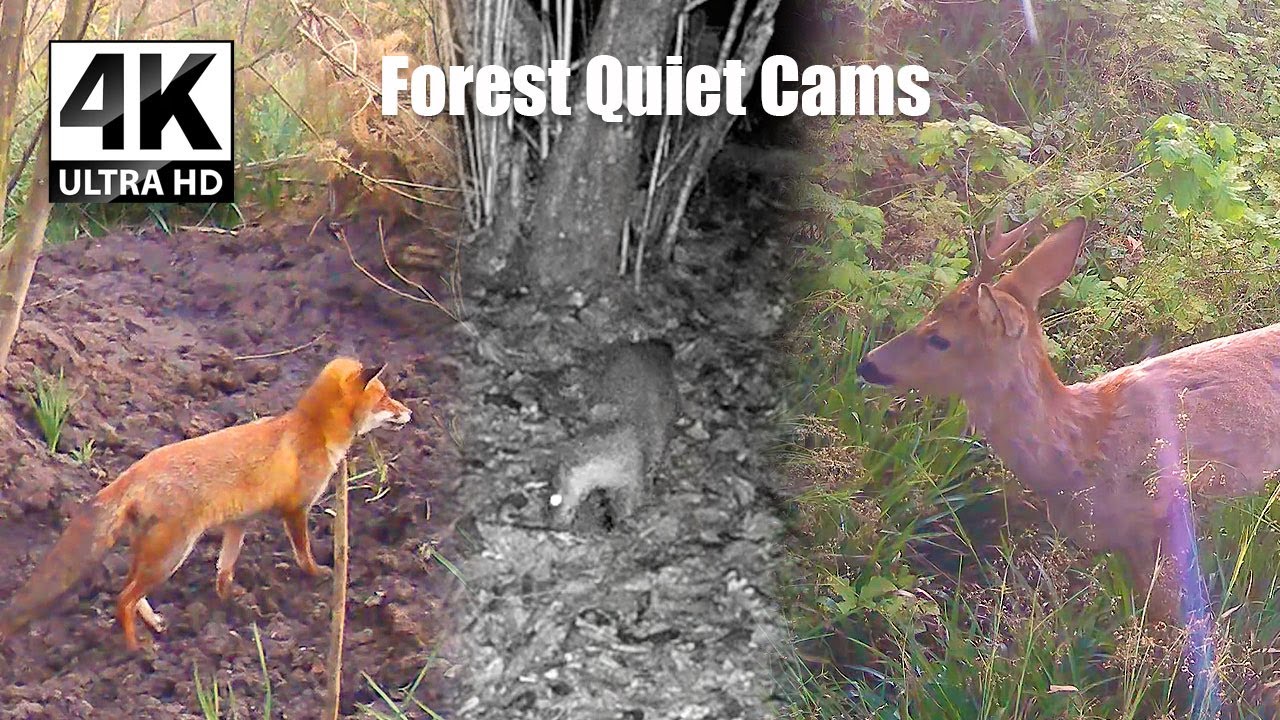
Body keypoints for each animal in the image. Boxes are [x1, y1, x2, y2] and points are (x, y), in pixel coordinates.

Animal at [0, 356, 412, 650]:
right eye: (385, 397)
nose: (409, 412)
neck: (311, 430)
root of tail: (135, 469)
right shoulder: (296, 509)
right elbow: (303, 553)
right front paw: (317, 574)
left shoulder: (237, 523)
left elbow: (224, 569)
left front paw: (229, 600)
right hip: (171, 554)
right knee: (122, 599)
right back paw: (136, 649)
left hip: (153, 553)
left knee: (130, 591)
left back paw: (154, 624)